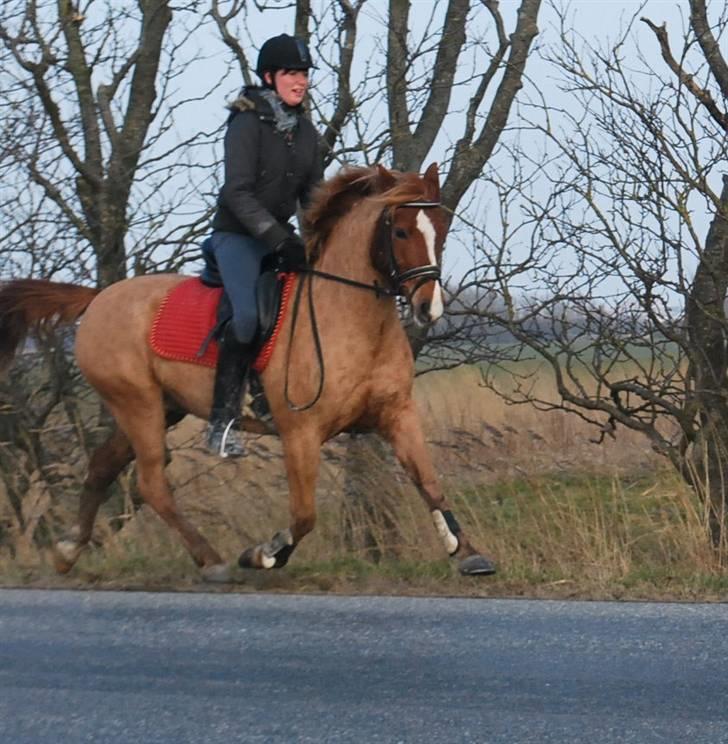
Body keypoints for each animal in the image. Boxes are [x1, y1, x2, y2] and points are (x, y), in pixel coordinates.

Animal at [0, 163, 494, 580]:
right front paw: (263, 554)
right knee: (151, 482)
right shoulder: (300, 433)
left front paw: (468, 553)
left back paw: (68, 552)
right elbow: (304, 515)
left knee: (103, 466)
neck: (352, 318)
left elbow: (429, 482)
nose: (428, 308)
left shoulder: (397, 415)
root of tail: (99, 298)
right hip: (137, 405)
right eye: (401, 230)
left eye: (442, 230)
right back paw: (212, 560)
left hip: (161, 406)